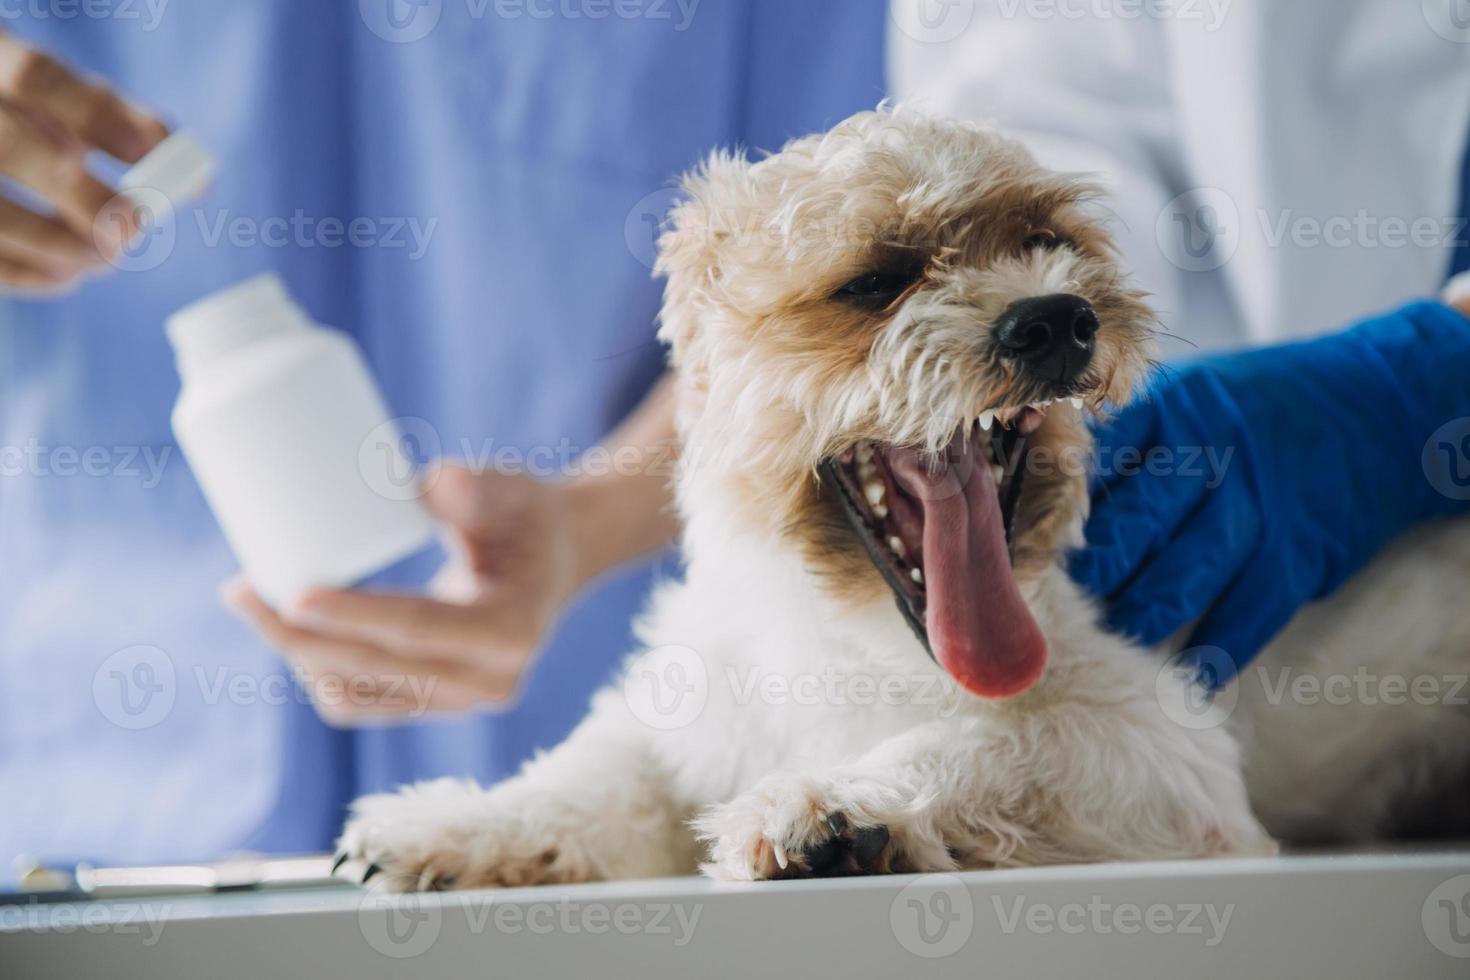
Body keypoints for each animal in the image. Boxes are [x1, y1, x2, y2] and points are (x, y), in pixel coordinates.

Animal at [330, 110, 1470, 893]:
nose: (1055, 318)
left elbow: (991, 743)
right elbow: (588, 780)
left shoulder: (1171, 758)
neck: (850, 644)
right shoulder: (688, 714)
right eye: (877, 281)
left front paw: (838, 804)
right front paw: (452, 828)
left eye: (1049, 239)